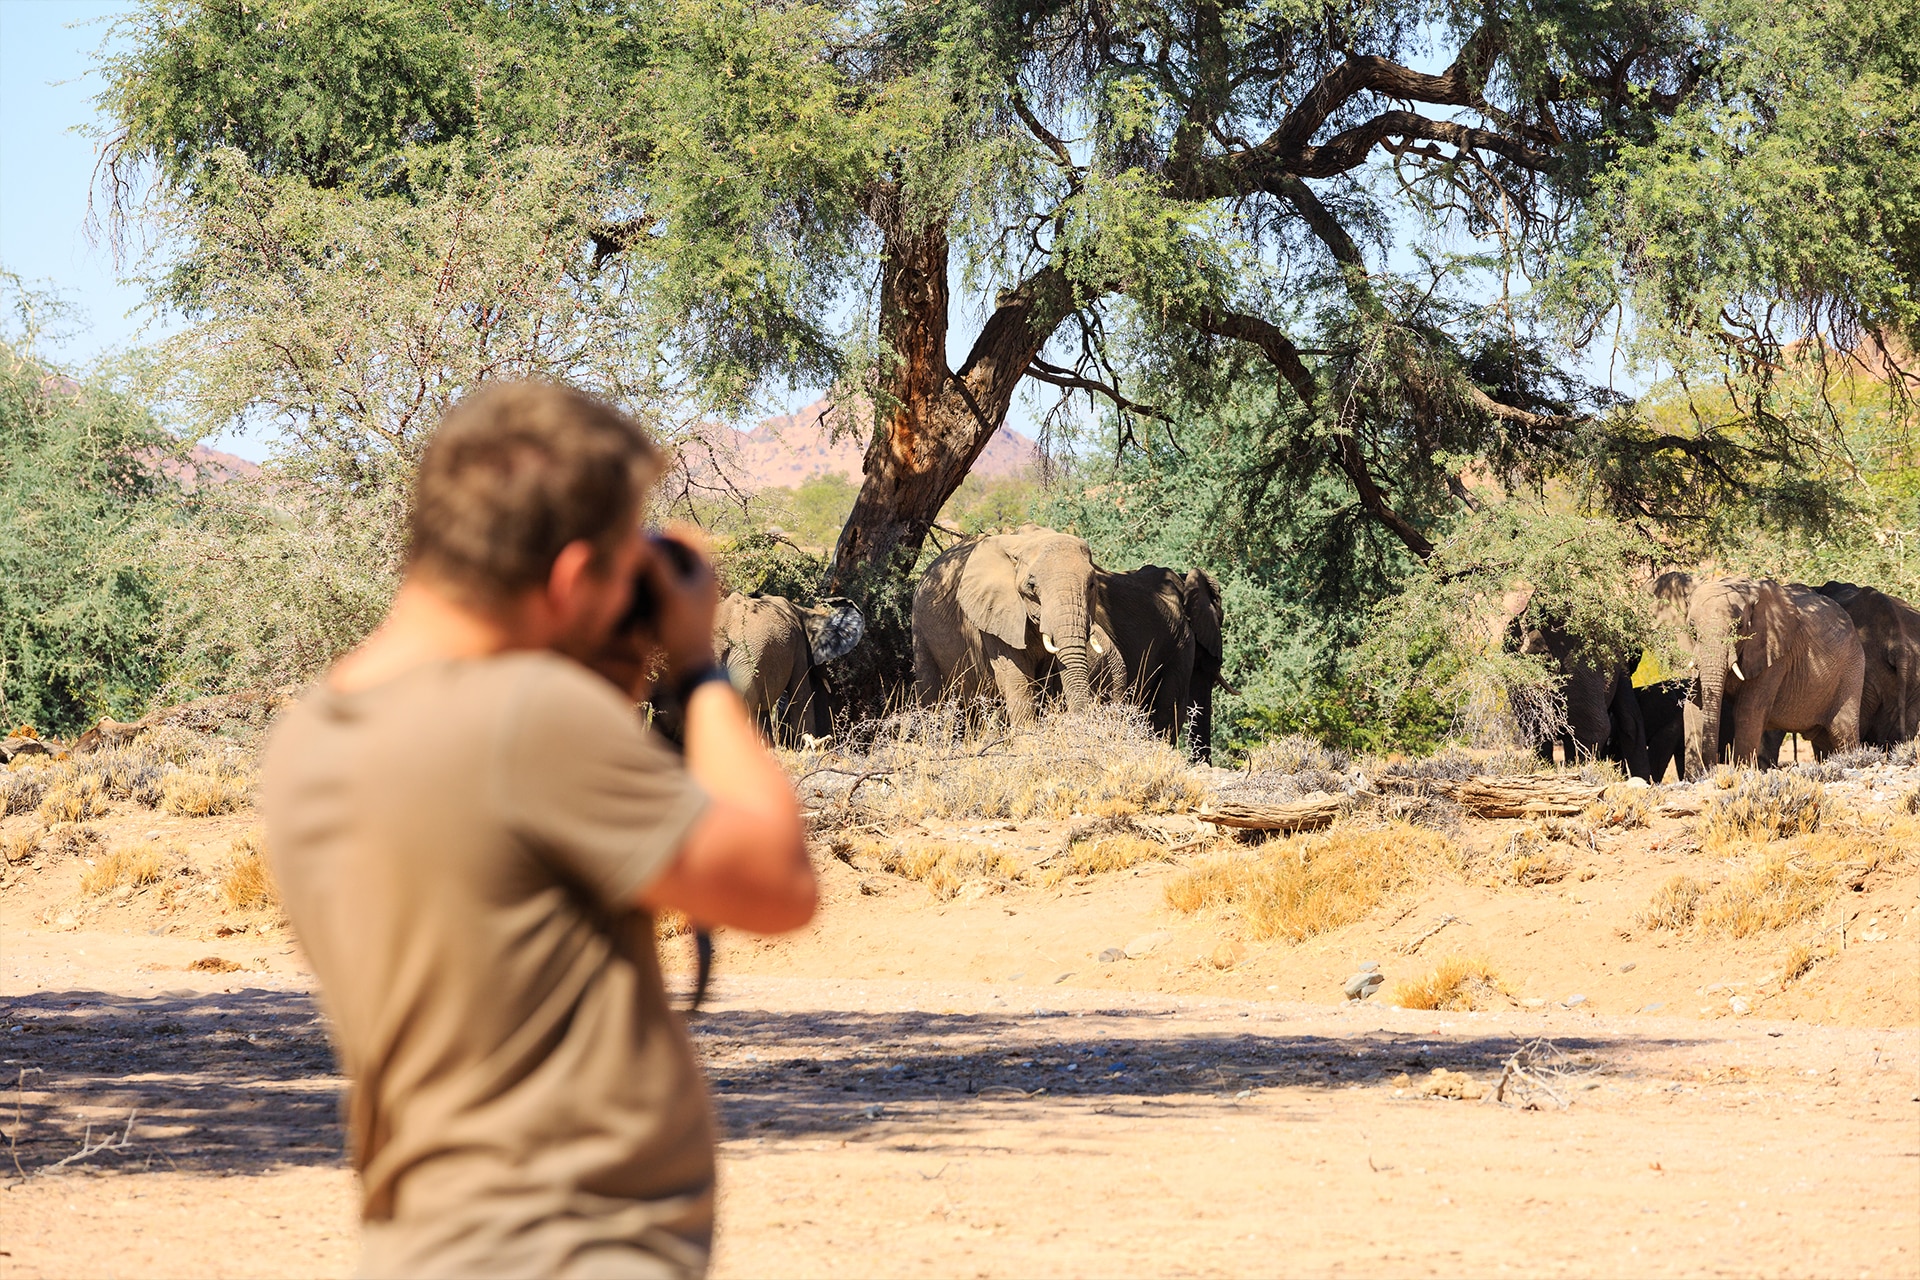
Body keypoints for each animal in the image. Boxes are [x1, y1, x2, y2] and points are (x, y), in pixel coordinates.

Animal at [910, 529, 1098, 725]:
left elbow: (1046, 677)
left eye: (1092, 584)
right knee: (930, 690)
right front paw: (1027, 732)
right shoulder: (994, 615)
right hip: (920, 629)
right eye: (1031, 586)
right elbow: (1015, 677)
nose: (1075, 720)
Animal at [1651, 571, 1858, 775]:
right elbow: (1693, 706)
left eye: (1739, 626)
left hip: (1851, 668)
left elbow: (1748, 710)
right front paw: (1695, 777)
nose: (1712, 768)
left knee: (1843, 732)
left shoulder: (1774, 652)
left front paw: (1741, 772)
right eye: (1692, 628)